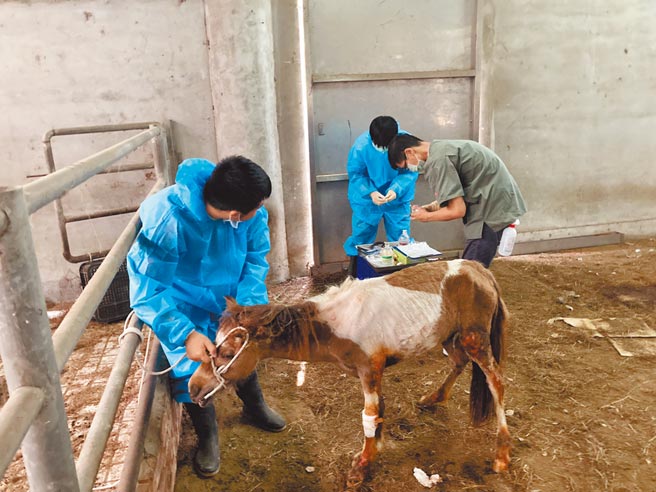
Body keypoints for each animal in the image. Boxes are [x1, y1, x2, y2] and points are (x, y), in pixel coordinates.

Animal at [189, 259, 511, 489]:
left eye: (228, 354)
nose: (193, 388)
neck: (338, 321)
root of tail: (480, 270)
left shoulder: (369, 369)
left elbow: (368, 417)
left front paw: (360, 469)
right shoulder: (372, 373)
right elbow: (378, 413)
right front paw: (373, 451)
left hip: (475, 340)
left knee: (496, 382)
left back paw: (501, 456)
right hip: (452, 338)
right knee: (458, 363)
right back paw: (433, 399)